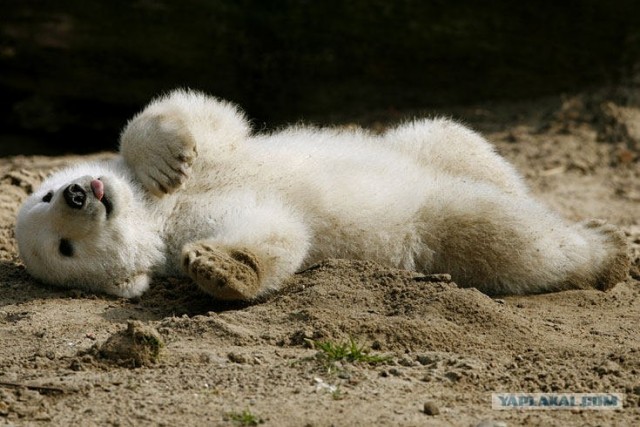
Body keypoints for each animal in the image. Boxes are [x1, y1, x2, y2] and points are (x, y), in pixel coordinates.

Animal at [15, 88, 632, 300]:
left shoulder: (212, 161)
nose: (78, 194)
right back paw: (606, 250)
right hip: (426, 227)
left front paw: (167, 158)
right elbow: (276, 231)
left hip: (423, 150)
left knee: (452, 141)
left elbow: (204, 115)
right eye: (65, 250)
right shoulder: (183, 230)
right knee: (503, 238)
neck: (161, 215)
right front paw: (218, 268)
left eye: (44, 195)